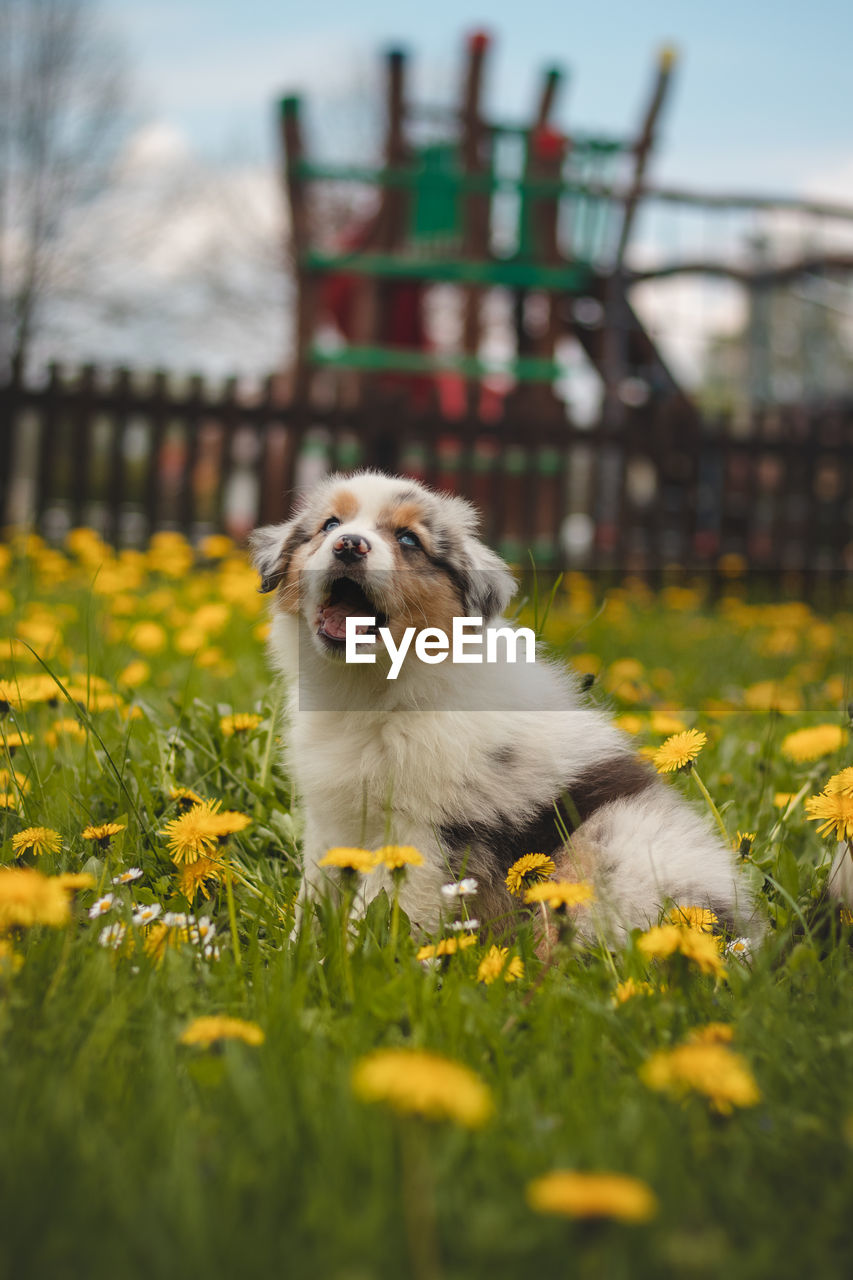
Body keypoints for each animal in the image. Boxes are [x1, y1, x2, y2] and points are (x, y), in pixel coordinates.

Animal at [249, 468, 753, 942]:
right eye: (330, 524)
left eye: (409, 539)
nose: (349, 544)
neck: (376, 693)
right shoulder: (331, 822)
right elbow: (317, 894)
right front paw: (300, 951)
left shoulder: (426, 831)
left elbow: (384, 910)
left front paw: (357, 957)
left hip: (611, 860)